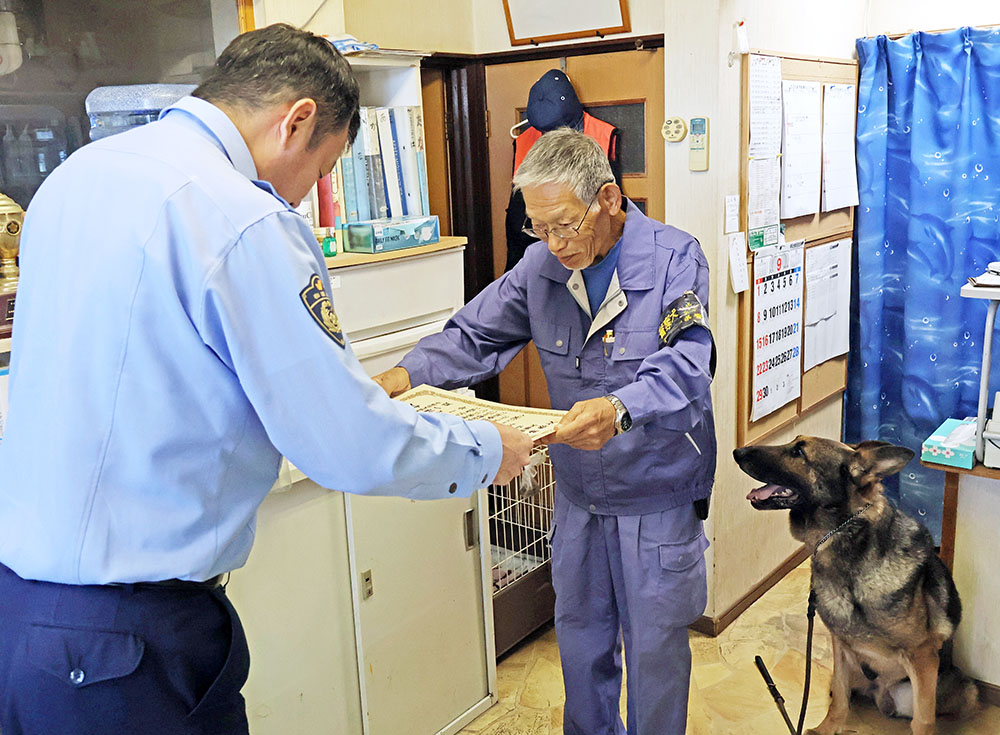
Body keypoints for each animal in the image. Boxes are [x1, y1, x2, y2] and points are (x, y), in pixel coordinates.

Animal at [732, 440, 980, 732]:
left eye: (799, 452)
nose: (737, 452)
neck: (842, 535)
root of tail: (881, 695)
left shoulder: (923, 656)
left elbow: (923, 720)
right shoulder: (840, 645)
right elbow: (840, 696)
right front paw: (826, 729)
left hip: (964, 692)